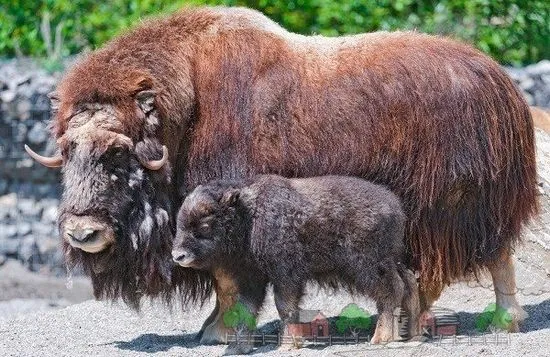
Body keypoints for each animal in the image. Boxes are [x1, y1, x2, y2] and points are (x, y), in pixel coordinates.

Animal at [175, 175, 420, 342]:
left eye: (205, 225)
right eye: (180, 223)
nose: (178, 255)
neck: (249, 216)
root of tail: (395, 207)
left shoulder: (286, 276)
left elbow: (285, 307)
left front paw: (287, 343)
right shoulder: (251, 278)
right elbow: (248, 308)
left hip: (369, 267)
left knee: (391, 291)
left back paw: (381, 337)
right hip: (391, 261)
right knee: (408, 282)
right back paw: (412, 332)